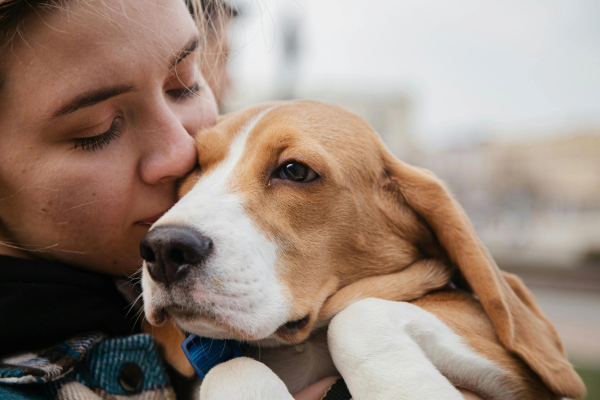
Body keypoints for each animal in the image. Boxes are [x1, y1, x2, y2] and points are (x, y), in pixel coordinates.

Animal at [141, 101, 584, 400]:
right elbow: (231, 367)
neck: (299, 347)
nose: (163, 249)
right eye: (194, 168)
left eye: (295, 170)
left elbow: (356, 316)